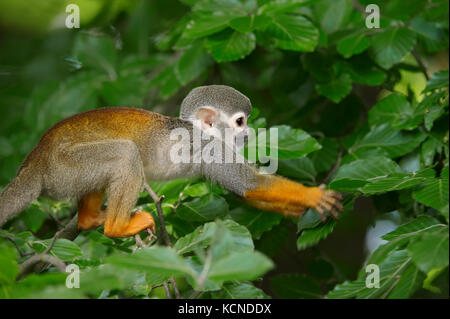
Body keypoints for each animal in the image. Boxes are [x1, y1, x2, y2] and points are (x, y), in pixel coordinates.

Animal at [0, 86, 342, 239]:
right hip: (65, 166)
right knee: (125, 154)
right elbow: (249, 184)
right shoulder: (209, 148)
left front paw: (296, 208)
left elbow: (246, 192)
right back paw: (116, 226)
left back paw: (88, 220)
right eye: (240, 121)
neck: (197, 131)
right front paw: (313, 196)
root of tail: (35, 160)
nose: (248, 134)